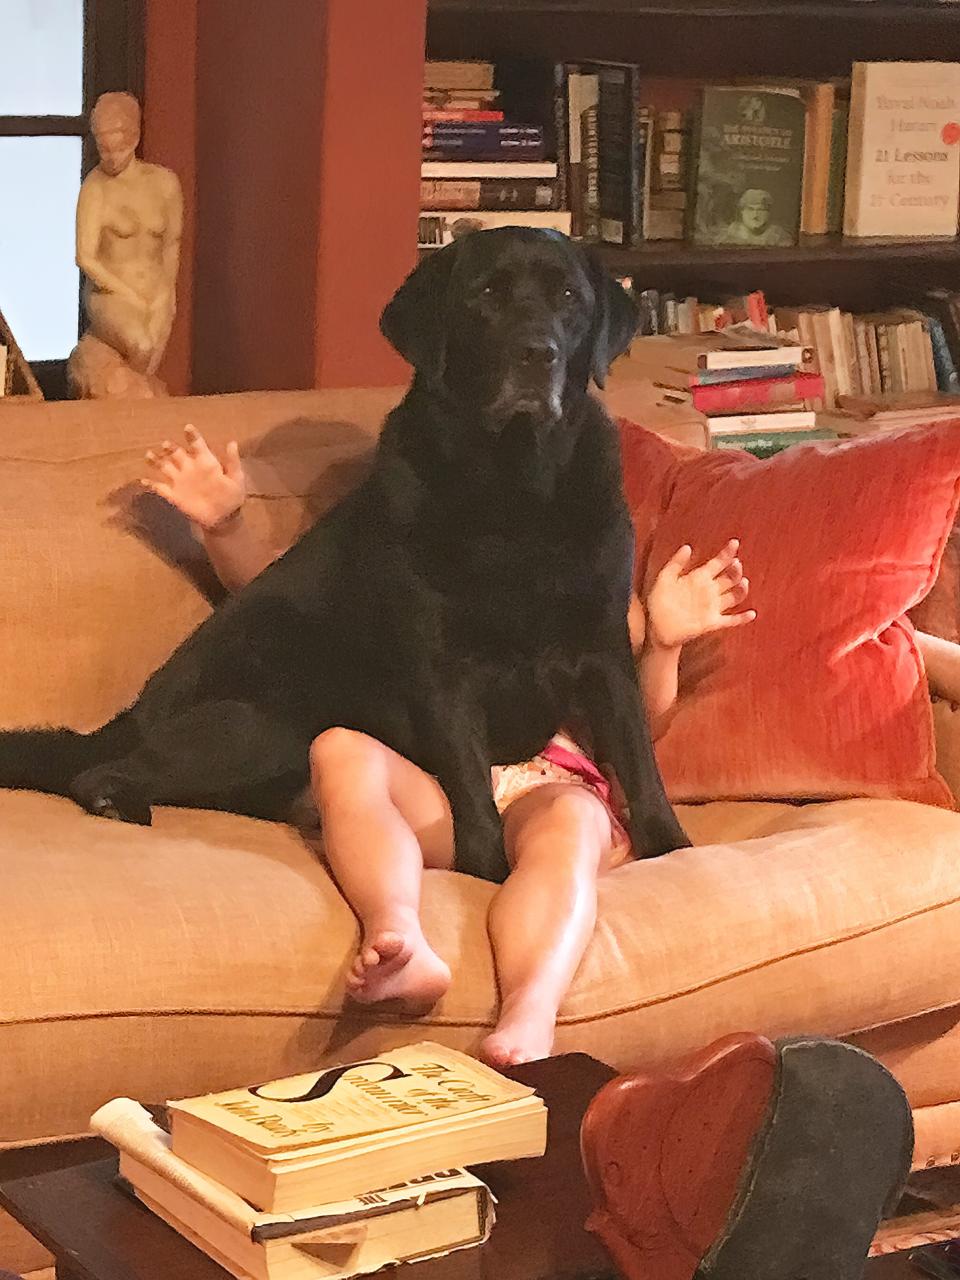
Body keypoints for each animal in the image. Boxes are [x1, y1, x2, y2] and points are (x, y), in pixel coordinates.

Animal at [1, 230, 691, 885]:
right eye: (487, 296)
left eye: (569, 298)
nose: (536, 353)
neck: (514, 487)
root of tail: (134, 713)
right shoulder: (444, 670)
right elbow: (472, 787)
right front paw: (485, 874)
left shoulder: (603, 651)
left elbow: (641, 761)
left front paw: (672, 848)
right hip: (269, 721)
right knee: (99, 771)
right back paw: (116, 800)